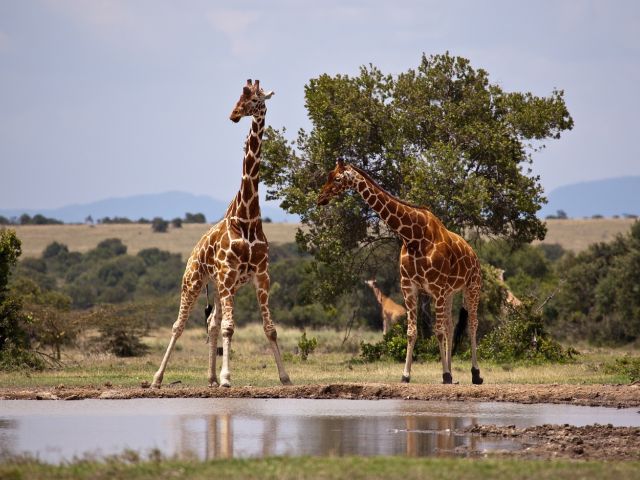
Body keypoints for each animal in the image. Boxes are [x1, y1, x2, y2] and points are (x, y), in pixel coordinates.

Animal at [151, 79, 291, 388]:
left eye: (255, 98)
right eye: (240, 96)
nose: (234, 115)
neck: (247, 217)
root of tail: (193, 251)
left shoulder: (261, 275)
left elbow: (270, 328)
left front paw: (285, 376)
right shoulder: (228, 275)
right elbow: (229, 328)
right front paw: (229, 378)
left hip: (219, 287)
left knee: (212, 322)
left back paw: (211, 377)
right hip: (194, 281)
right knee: (179, 325)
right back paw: (157, 378)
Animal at [318, 160, 483, 385]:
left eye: (336, 178)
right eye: (327, 175)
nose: (320, 198)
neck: (414, 237)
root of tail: (474, 254)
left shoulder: (437, 288)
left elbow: (438, 331)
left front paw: (446, 375)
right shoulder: (410, 287)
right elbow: (412, 331)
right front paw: (406, 375)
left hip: (472, 287)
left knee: (472, 324)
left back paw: (475, 374)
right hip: (449, 293)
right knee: (450, 326)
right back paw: (453, 371)